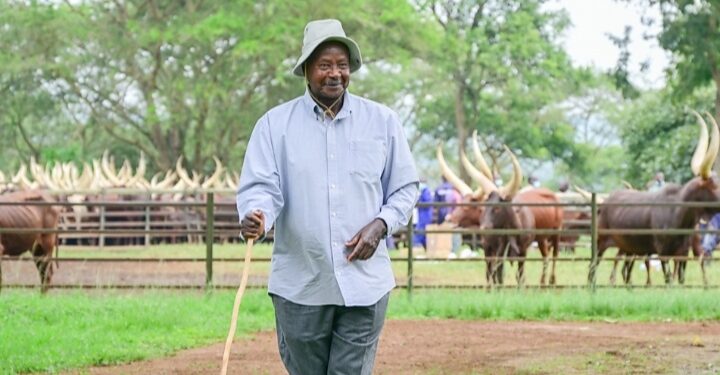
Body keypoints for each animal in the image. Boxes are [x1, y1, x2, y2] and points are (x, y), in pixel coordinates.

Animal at [592, 111, 720, 284]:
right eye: (714, 185)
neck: (678, 213)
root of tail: (604, 203)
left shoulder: (682, 252)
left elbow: (680, 278)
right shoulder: (663, 252)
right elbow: (669, 279)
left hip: (627, 248)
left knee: (625, 269)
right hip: (600, 243)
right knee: (594, 268)